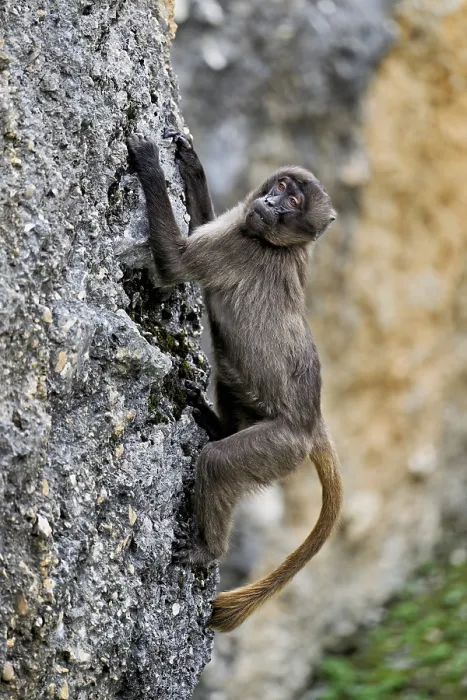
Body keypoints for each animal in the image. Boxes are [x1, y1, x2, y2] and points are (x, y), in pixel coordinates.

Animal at [126, 130, 343, 633]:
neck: (281, 245)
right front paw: (190, 163)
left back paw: (207, 550)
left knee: (219, 464)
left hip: (280, 447)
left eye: (293, 200)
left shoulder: (236, 244)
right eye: (281, 186)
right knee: (229, 375)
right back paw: (217, 424)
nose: (270, 201)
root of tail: (313, 421)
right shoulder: (235, 227)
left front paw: (148, 161)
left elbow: (174, 263)